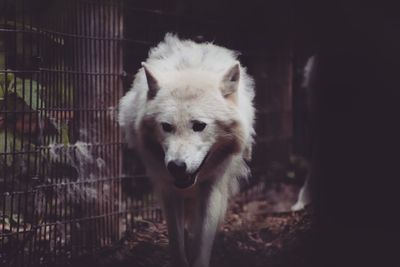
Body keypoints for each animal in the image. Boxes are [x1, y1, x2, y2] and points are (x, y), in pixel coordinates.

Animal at [119, 34, 256, 267]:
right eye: (166, 126)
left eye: (199, 125)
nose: (176, 166)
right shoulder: (168, 188)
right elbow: (176, 242)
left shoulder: (212, 187)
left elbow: (202, 242)